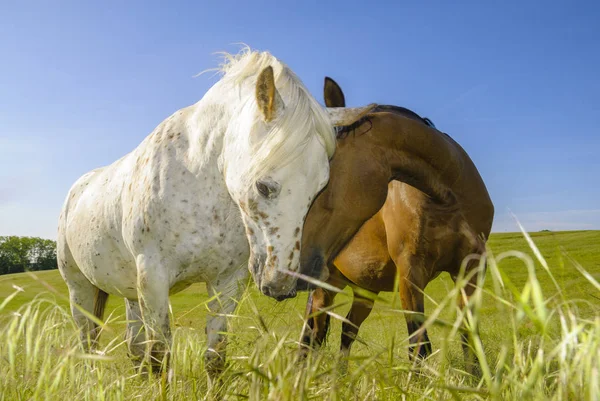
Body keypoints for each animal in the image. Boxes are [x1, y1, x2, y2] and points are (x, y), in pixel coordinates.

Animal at [56, 48, 338, 376]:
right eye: (263, 186)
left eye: (317, 192)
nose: (280, 285)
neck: (199, 177)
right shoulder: (153, 278)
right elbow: (160, 356)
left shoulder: (227, 283)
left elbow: (215, 357)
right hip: (79, 288)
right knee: (88, 341)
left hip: (129, 291)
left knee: (134, 345)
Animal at [298, 78, 494, 372]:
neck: (448, 196)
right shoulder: (411, 270)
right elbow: (419, 345)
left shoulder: (471, 266)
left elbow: (469, 336)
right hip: (325, 289)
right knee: (313, 335)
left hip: (364, 290)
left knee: (346, 330)